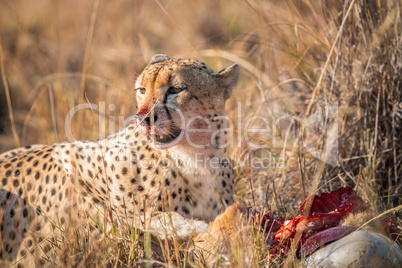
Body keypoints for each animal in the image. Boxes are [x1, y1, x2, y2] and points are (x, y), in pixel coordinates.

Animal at [0, 55, 239, 266]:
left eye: (176, 90)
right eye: (142, 90)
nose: (143, 118)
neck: (195, 157)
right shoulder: (75, 160)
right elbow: (138, 213)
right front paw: (191, 227)